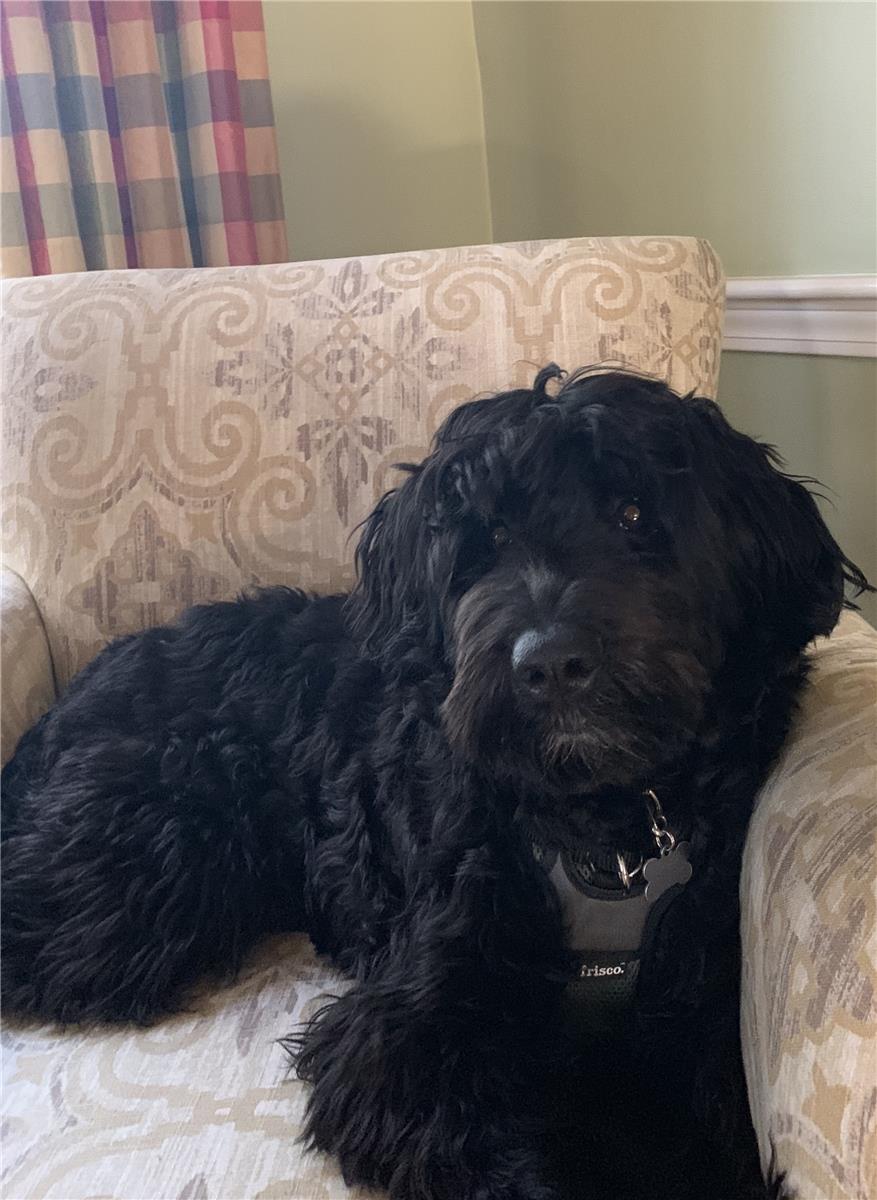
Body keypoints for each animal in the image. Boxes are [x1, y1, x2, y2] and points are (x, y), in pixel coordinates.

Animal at [2, 366, 870, 1200]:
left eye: (631, 513)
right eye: (486, 538)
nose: (548, 663)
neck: (599, 828)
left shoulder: (694, 1018)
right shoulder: (410, 1035)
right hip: (147, 863)